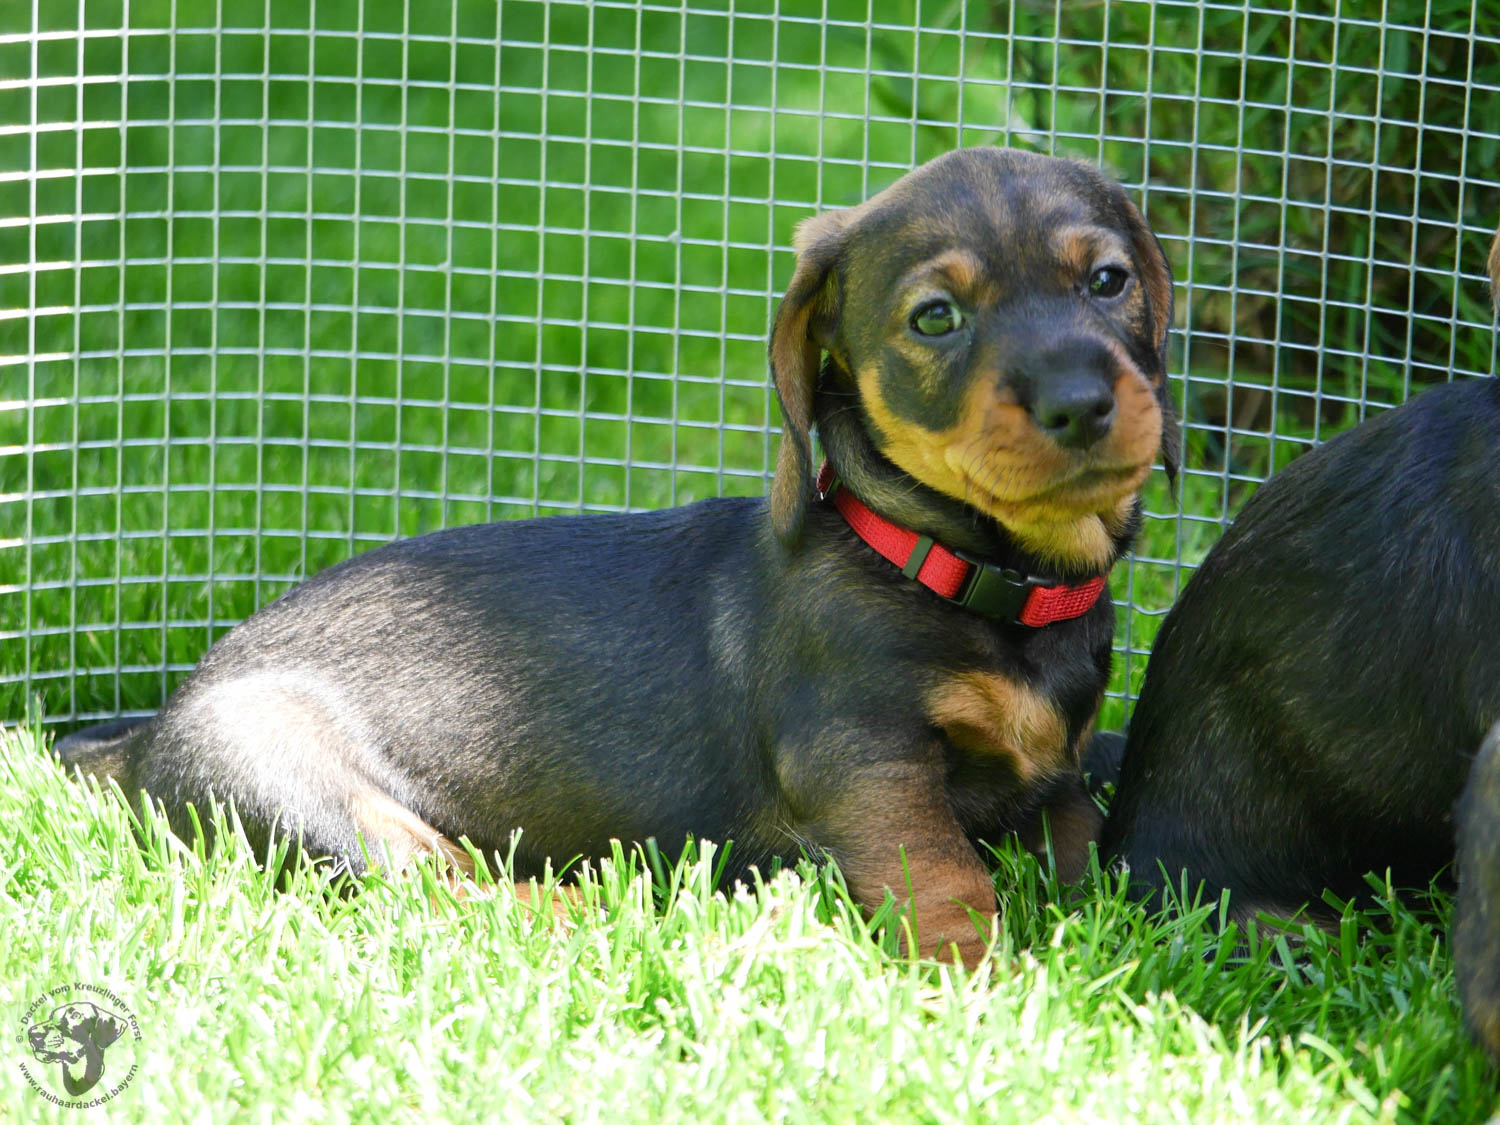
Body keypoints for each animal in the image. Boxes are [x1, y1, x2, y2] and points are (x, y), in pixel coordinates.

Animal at [55, 147, 1178, 970]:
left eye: (1109, 280)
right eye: (935, 316)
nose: (1081, 403)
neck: (962, 576)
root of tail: (145, 737)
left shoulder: (1055, 779)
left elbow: (1090, 854)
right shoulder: (867, 759)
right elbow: (941, 869)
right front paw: (977, 974)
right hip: (302, 788)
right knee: (437, 892)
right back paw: (602, 911)